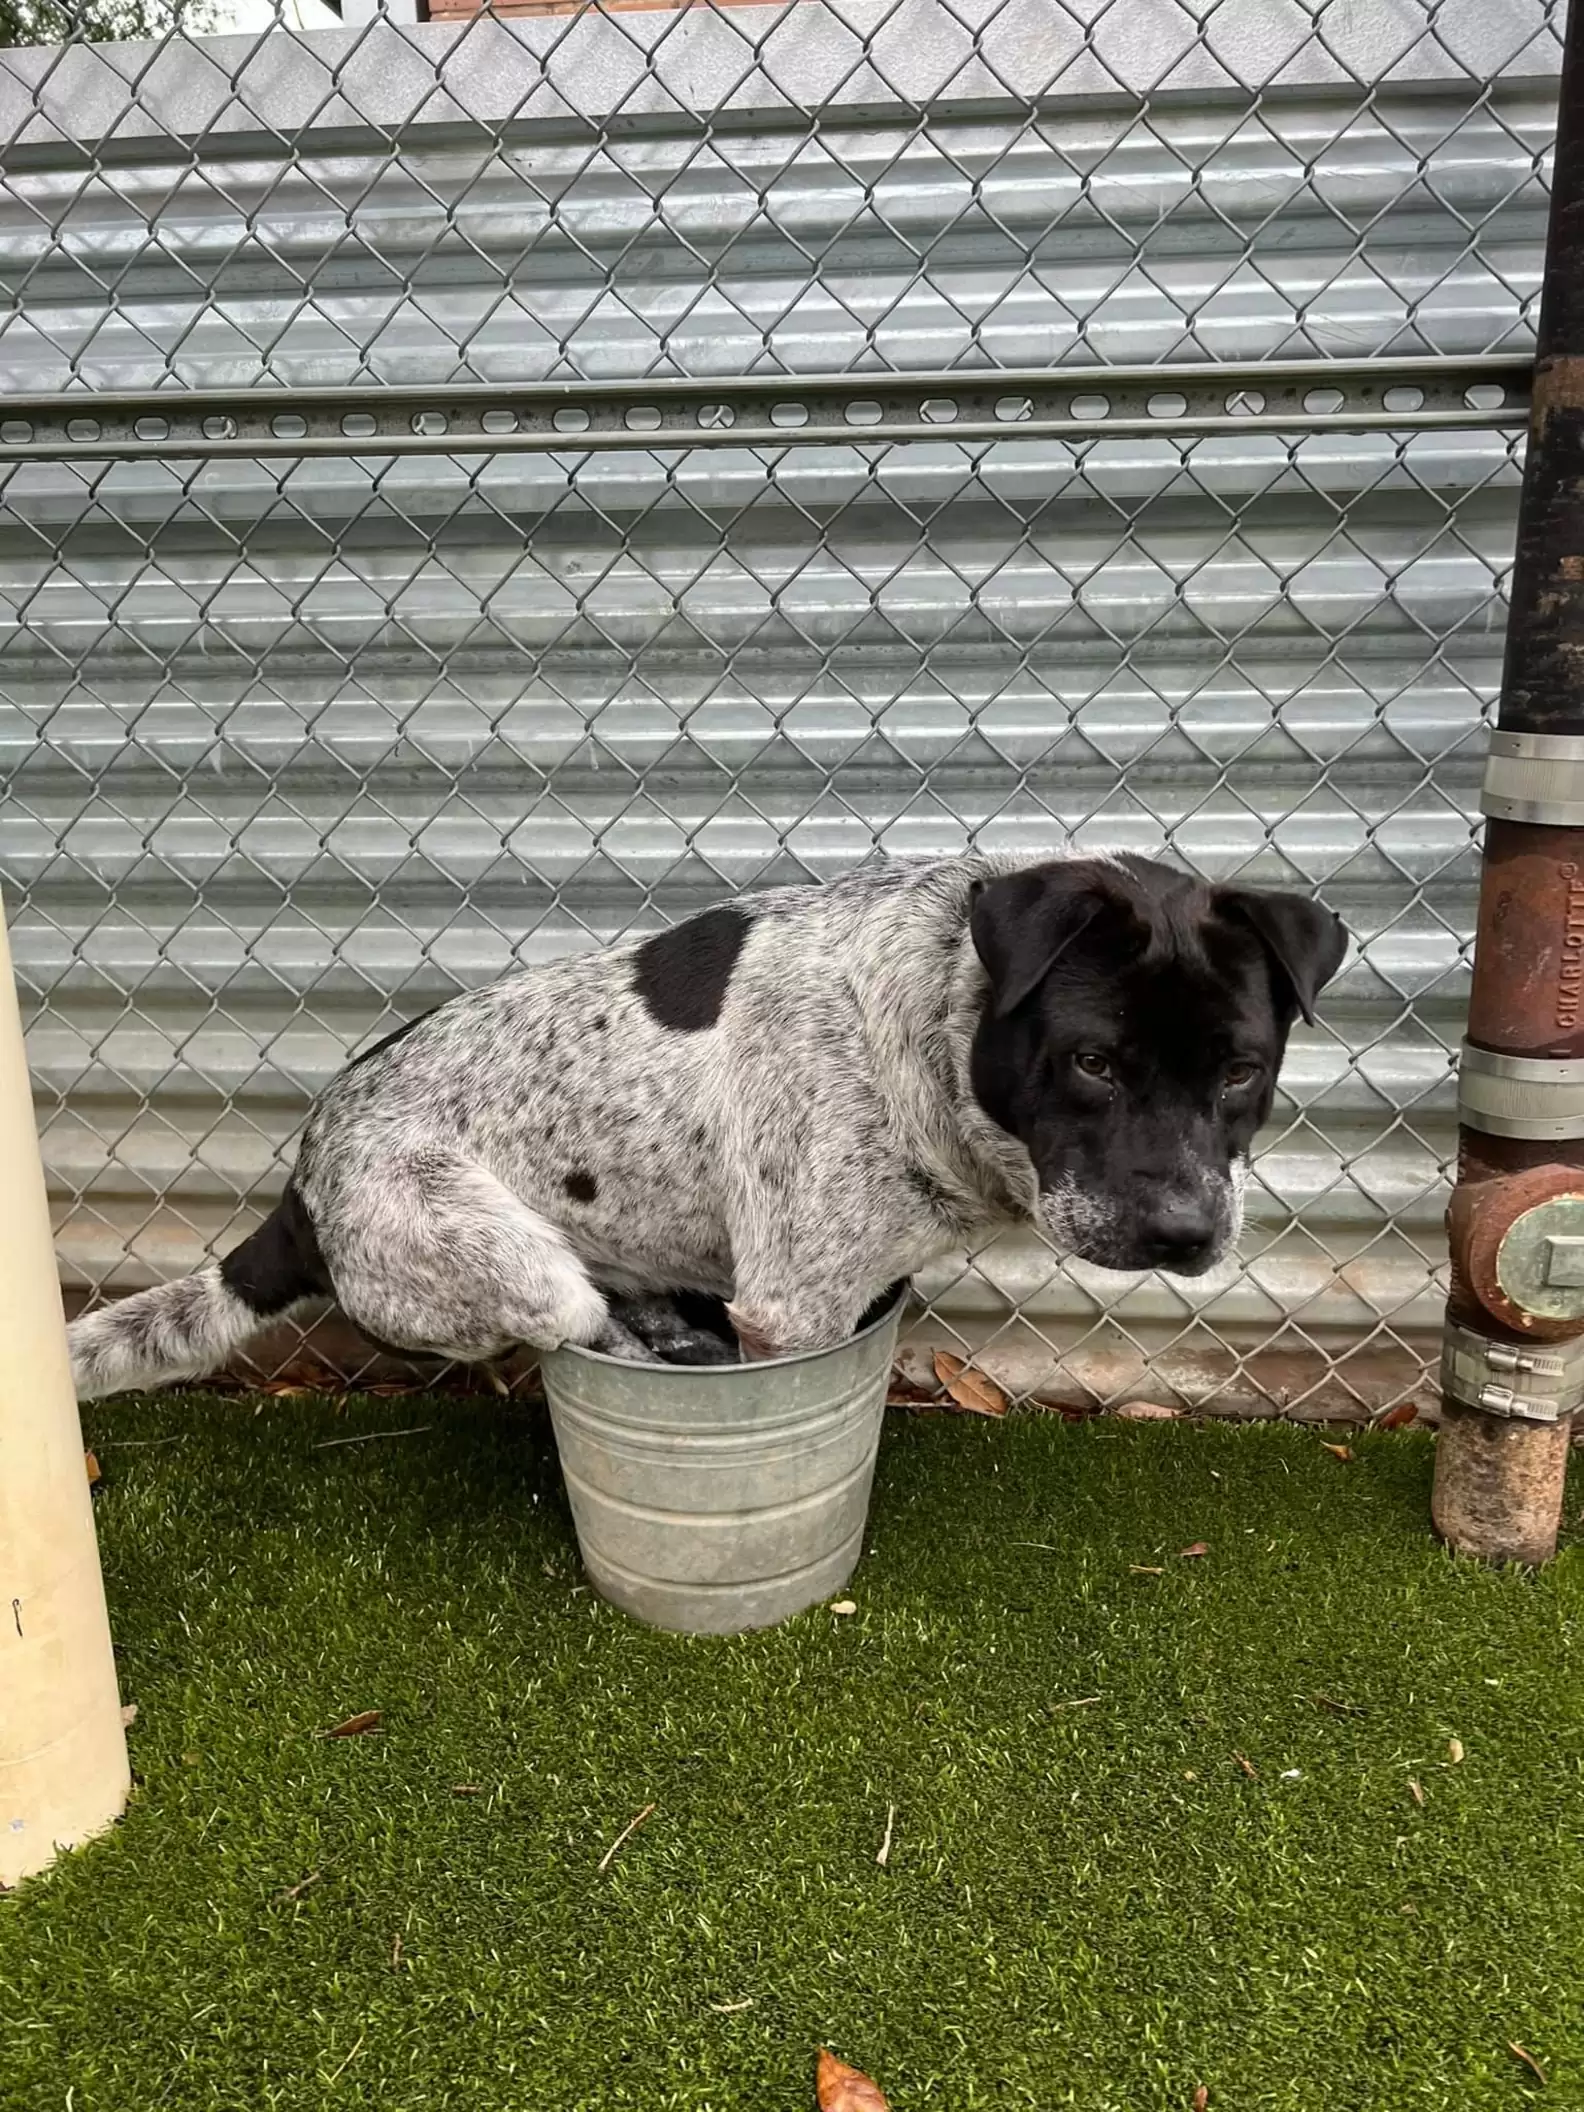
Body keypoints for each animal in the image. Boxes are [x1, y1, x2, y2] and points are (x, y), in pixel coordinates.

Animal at [65, 849, 1351, 1393]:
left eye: (1242, 1072)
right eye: (1091, 1061)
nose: (1184, 1233)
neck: (918, 1032)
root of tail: (300, 1189)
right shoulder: (792, 1312)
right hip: (503, 1262)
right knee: (569, 1323)